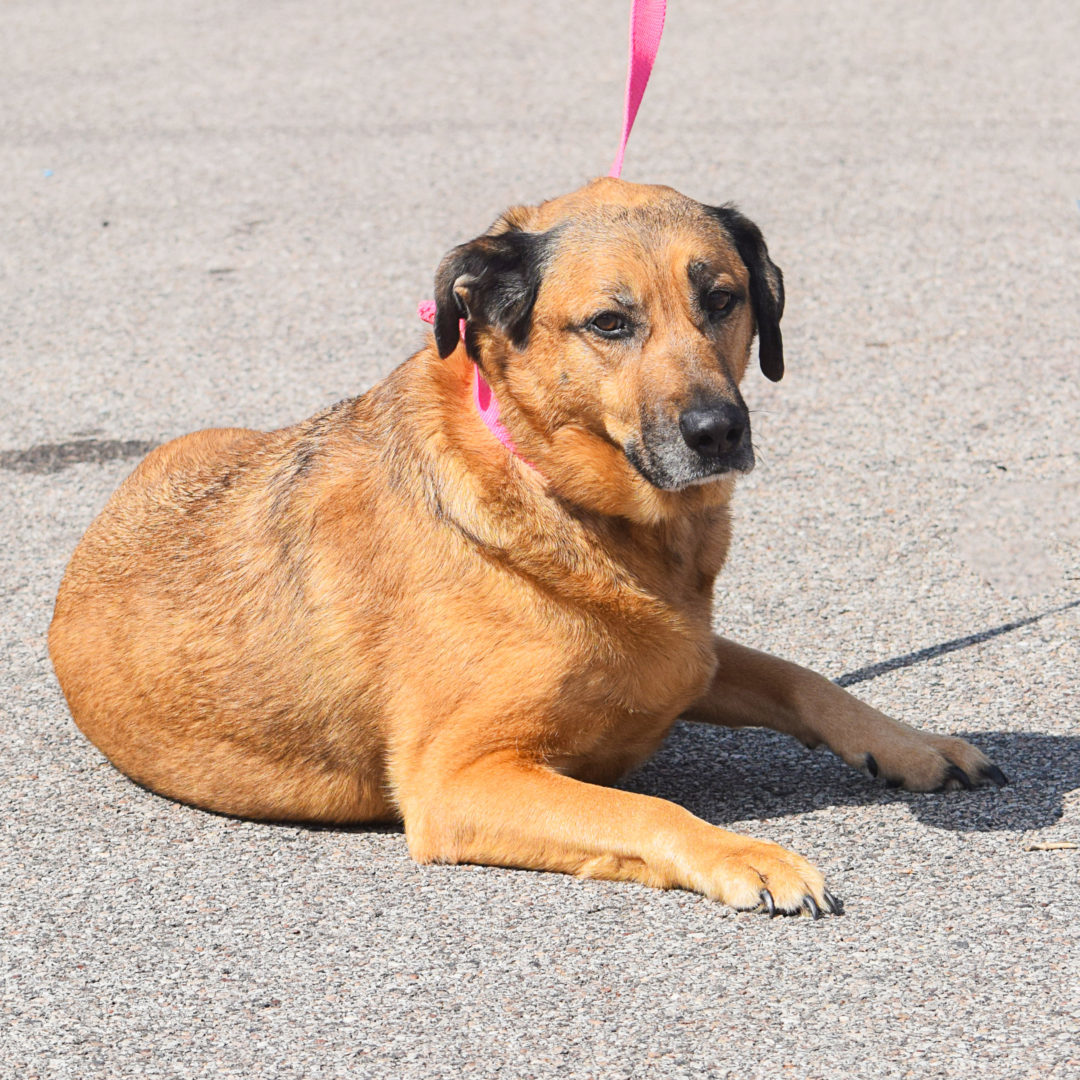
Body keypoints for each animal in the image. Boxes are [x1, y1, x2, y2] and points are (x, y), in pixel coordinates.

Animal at [46, 179, 1006, 920]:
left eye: (723, 299)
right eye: (611, 323)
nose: (718, 432)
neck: (564, 497)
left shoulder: (682, 655)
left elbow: (804, 680)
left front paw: (912, 744)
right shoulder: (459, 780)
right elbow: (645, 810)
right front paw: (746, 856)